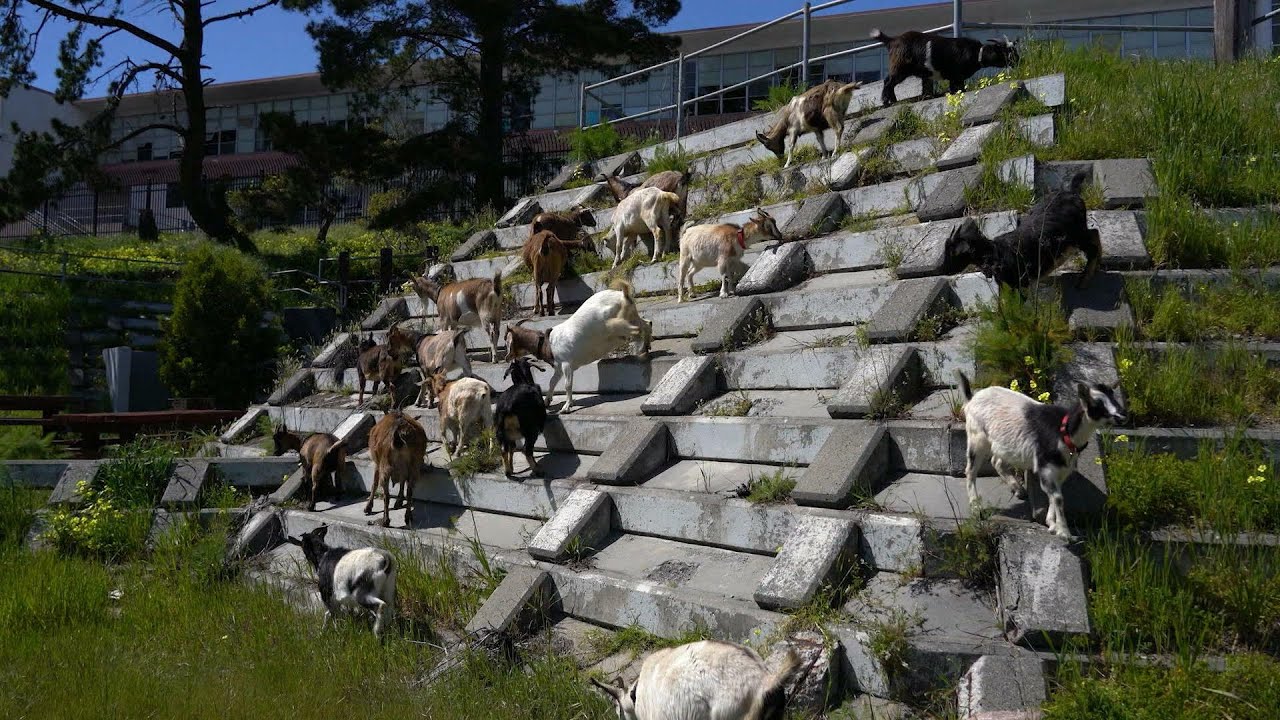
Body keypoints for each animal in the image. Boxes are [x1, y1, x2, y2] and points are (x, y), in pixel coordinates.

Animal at [504, 278, 650, 412]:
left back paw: (641, 350)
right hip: (632, 316)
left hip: (616, 324)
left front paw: (567, 406)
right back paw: (646, 347)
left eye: (507, 341)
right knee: (647, 324)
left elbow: (567, 385)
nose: (506, 358)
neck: (548, 343)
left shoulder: (567, 364)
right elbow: (552, 382)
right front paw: (547, 401)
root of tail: (623, 295)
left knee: (636, 331)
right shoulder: (559, 368)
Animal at [875, 28, 1013, 106]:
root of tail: (892, 40)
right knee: (888, 82)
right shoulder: (956, 75)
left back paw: (893, 101)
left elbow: (955, 89)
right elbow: (959, 88)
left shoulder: (955, 77)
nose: (1015, 60)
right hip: (900, 68)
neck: (976, 53)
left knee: (891, 83)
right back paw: (886, 102)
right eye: (1003, 51)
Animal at [942, 169, 1100, 288]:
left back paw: (1084, 280)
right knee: (1094, 234)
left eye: (951, 252)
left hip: (1076, 234)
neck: (994, 252)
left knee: (1093, 241)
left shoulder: (1018, 283)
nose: (945, 270)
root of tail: (1072, 192)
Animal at [957, 371, 1126, 535]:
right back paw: (976, 508)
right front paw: (1063, 531)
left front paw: (1051, 523)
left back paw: (1018, 490)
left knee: (996, 462)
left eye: (1114, 399)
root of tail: (972, 398)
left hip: (1006, 445)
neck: (1064, 431)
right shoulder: (1045, 466)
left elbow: (1054, 496)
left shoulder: (1062, 470)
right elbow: (1057, 497)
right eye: (1097, 404)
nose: (1122, 416)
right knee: (971, 471)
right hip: (977, 437)